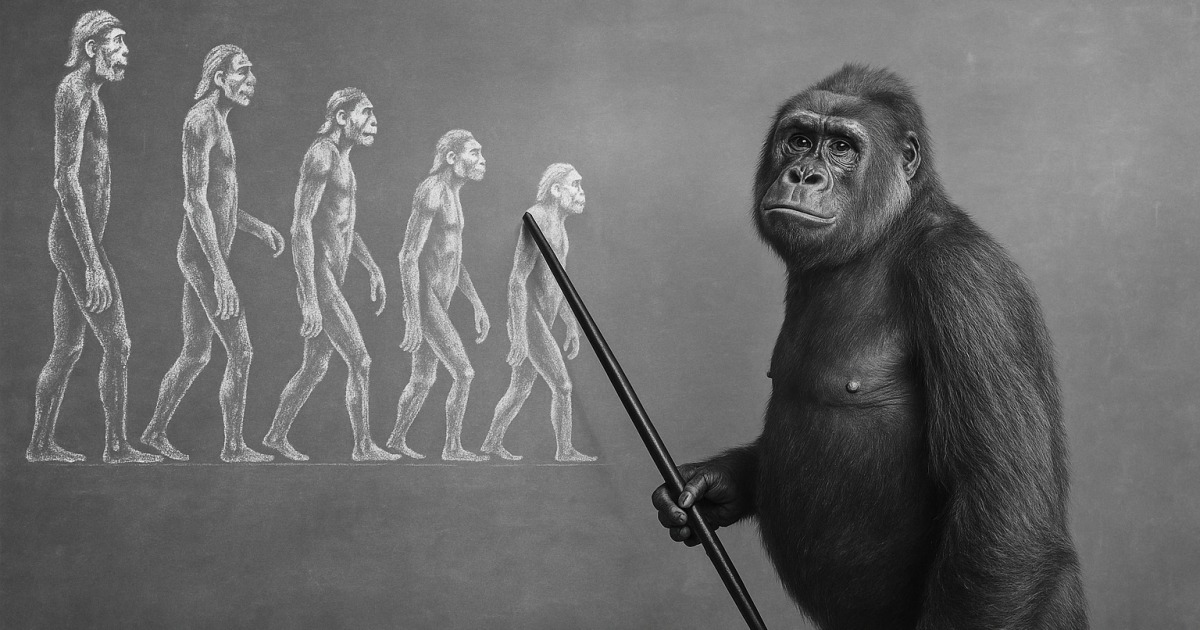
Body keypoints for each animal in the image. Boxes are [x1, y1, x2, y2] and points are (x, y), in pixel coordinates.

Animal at [27, 10, 161, 464]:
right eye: (116, 40)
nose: (126, 52)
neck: (88, 80)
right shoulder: (73, 102)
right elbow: (67, 175)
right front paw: (118, 453)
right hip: (74, 253)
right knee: (105, 341)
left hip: (70, 278)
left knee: (66, 353)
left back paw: (47, 448)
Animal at [651, 65, 1087, 629]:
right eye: (799, 140)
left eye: (841, 147)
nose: (804, 175)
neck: (883, 236)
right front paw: (709, 487)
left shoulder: (967, 281)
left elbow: (1004, 512)